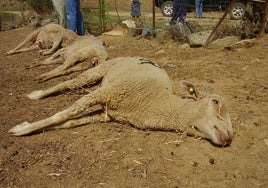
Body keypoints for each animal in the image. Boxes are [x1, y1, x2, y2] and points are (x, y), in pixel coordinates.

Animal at [9, 57, 233, 147]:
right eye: (215, 102)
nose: (229, 137)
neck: (155, 100)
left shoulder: (107, 114)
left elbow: (70, 121)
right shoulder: (107, 92)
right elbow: (61, 114)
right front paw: (22, 129)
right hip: (100, 71)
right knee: (68, 83)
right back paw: (38, 93)